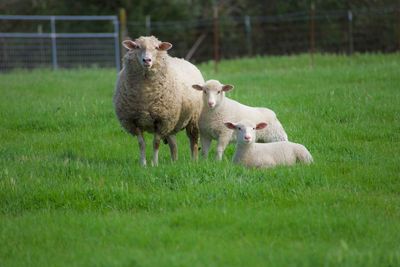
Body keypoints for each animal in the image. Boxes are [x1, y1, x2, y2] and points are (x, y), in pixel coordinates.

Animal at [114, 35, 205, 165]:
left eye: (157, 47)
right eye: (137, 47)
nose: (147, 60)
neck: (145, 93)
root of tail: (184, 60)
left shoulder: (162, 121)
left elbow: (156, 143)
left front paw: (155, 164)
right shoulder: (134, 121)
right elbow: (141, 144)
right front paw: (143, 164)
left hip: (193, 119)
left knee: (194, 141)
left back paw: (194, 161)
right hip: (172, 122)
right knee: (173, 144)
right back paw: (174, 162)